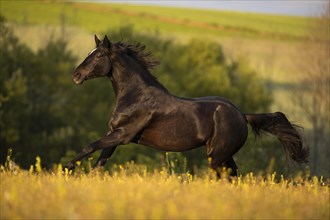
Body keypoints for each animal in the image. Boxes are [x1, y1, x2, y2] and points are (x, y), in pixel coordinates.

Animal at [65, 35, 308, 177]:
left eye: (98, 55)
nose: (76, 75)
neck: (136, 96)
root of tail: (242, 114)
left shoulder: (123, 134)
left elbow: (89, 147)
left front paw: (66, 168)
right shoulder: (114, 135)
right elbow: (98, 164)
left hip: (216, 156)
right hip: (223, 155)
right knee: (232, 176)